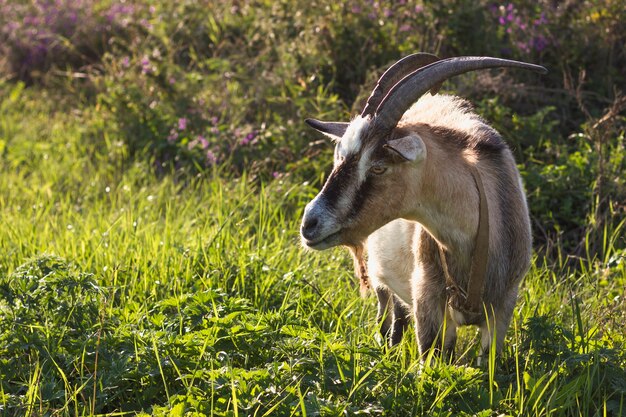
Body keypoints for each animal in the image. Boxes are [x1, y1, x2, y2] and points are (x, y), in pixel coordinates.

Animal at [300, 52, 544, 358]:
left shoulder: (502, 307)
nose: (309, 223)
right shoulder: (427, 298)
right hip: (382, 279)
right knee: (388, 321)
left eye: (379, 167)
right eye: (338, 158)